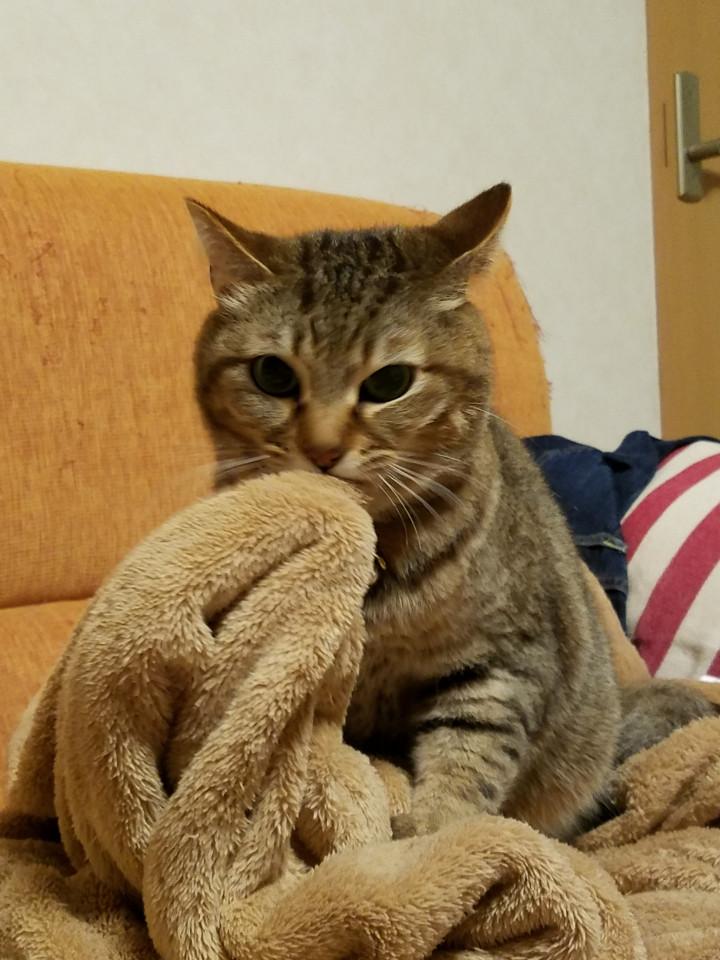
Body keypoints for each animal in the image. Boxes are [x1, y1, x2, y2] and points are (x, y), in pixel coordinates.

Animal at [187, 185, 714, 839]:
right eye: (272, 373)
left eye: (390, 382)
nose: (322, 450)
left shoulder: (499, 667)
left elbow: (466, 767)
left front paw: (432, 838)